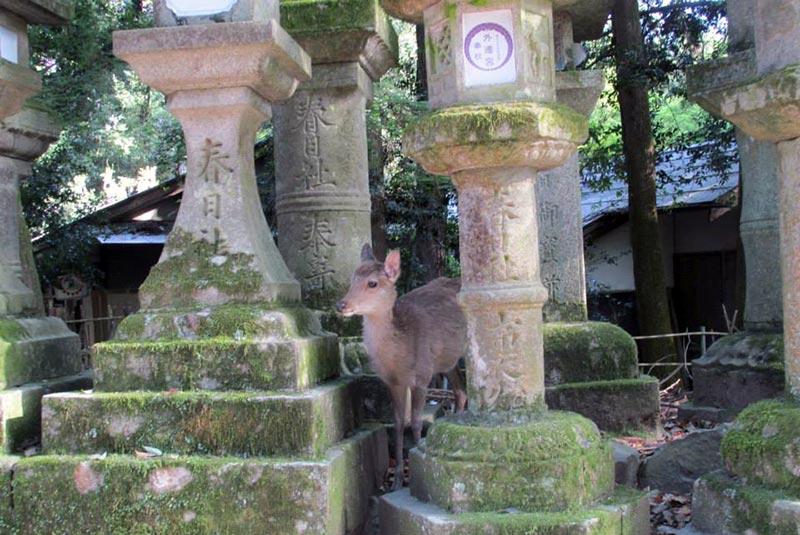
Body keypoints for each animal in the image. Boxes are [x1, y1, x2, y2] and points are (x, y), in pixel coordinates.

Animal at [336, 244, 467, 490]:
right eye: (352, 278)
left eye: (372, 283)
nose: (341, 305)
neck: (400, 360)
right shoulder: (393, 382)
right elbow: (398, 423)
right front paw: (396, 480)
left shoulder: (422, 375)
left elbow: (415, 422)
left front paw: (417, 468)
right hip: (446, 360)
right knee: (460, 391)